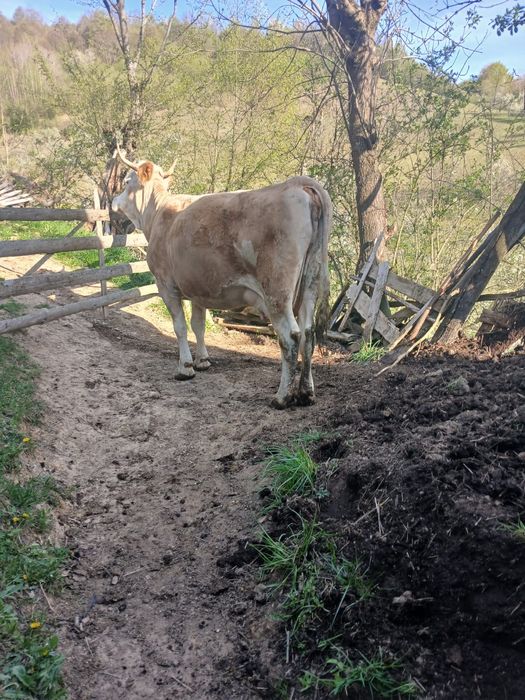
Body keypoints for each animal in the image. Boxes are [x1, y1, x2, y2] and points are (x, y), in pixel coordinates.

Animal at [111, 151, 332, 408]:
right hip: (310, 283)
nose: (113, 201)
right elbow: (198, 325)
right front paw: (203, 361)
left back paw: (281, 397)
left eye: (126, 181)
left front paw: (185, 368)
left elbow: (180, 327)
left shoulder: (166, 284)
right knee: (308, 333)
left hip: (277, 290)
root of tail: (296, 184)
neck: (158, 214)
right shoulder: (197, 288)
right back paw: (306, 393)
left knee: (290, 336)